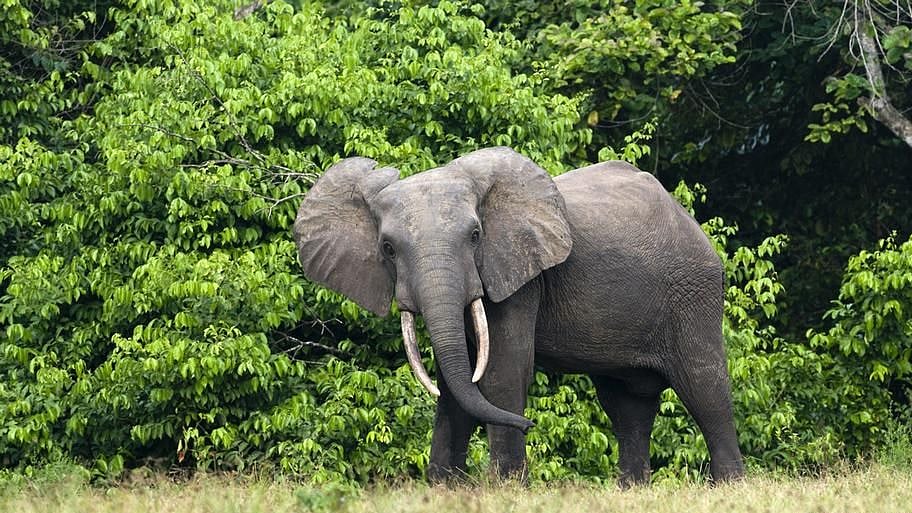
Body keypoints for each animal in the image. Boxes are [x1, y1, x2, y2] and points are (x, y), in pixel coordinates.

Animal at [293, 146, 745, 486]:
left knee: (704, 387)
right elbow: (458, 381)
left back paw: (729, 487)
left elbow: (501, 372)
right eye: (387, 248)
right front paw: (444, 489)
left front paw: (506, 486)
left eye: (476, 236)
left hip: (693, 292)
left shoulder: (519, 276)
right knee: (626, 404)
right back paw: (632, 491)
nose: (529, 425)